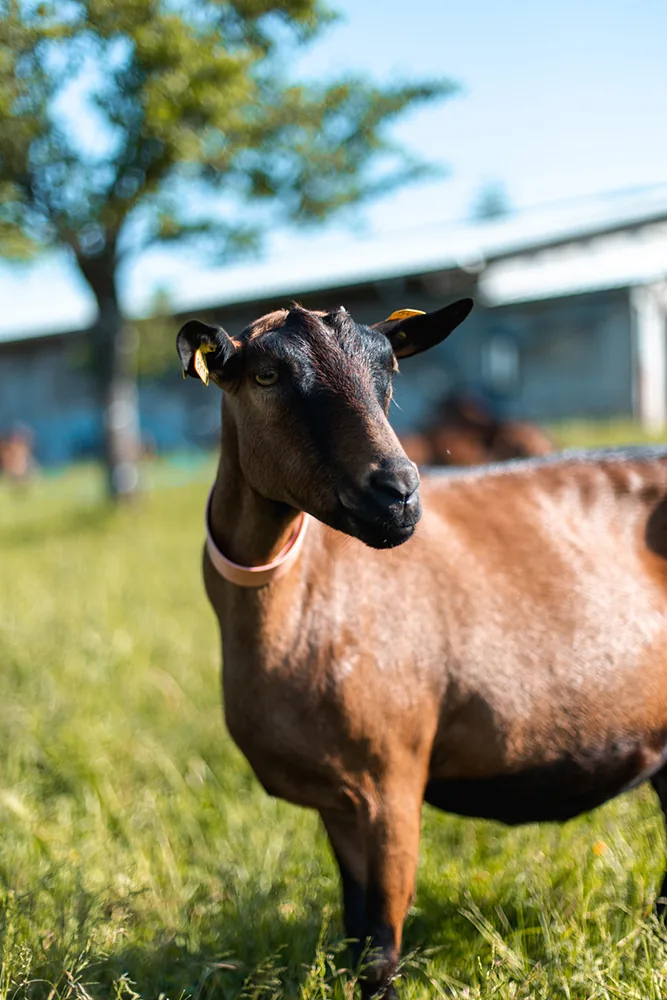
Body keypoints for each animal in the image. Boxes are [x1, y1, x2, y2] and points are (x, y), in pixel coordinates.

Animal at [177, 300, 667, 998]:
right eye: (267, 374)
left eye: (389, 366)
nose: (398, 494)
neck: (303, 598)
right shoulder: (341, 797)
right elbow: (356, 932)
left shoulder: (391, 776)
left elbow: (380, 947)